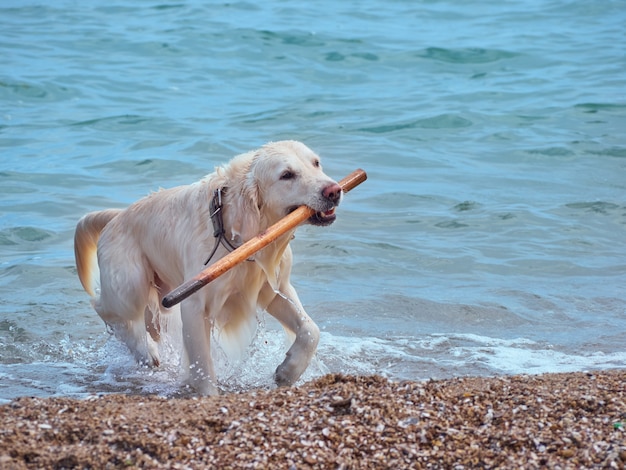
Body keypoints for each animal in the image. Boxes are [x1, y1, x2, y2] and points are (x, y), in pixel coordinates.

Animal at [75, 141, 344, 394]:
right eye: (287, 175)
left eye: (316, 163)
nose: (334, 191)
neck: (237, 230)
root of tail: (116, 216)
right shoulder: (195, 304)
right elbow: (203, 366)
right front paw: (209, 395)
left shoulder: (273, 288)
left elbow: (311, 330)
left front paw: (288, 371)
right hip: (129, 284)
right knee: (106, 310)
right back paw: (145, 350)